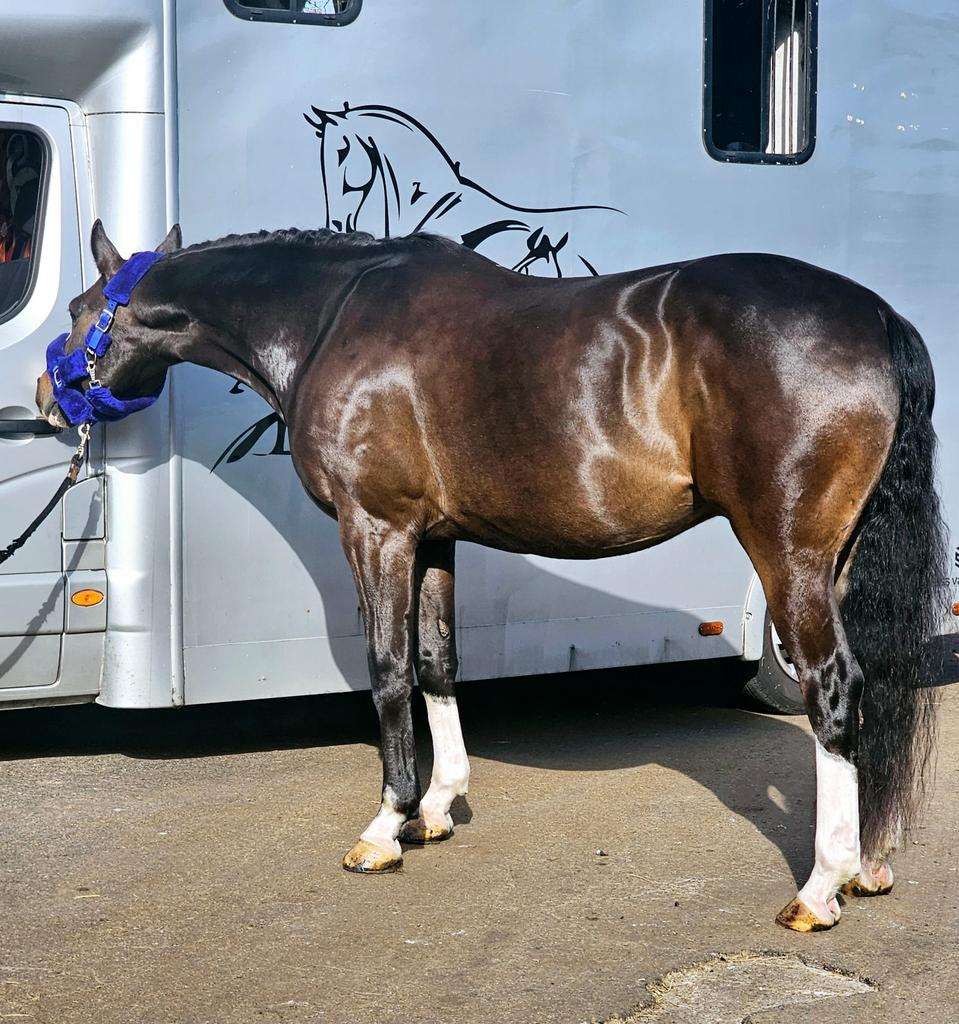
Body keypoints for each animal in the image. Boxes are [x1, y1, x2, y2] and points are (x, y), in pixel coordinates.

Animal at [37, 220, 947, 932]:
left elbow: (388, 668)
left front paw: (386, 826)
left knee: (831, 686)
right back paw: (867, 864)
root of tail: (874, 316)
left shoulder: (376, 528)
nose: (46, 396)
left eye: (81, 311)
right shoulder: (435, 537)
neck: (331, 317)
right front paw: (438, 808)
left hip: (786, 551)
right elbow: (438, 662)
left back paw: (820, 887)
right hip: (837, 557)